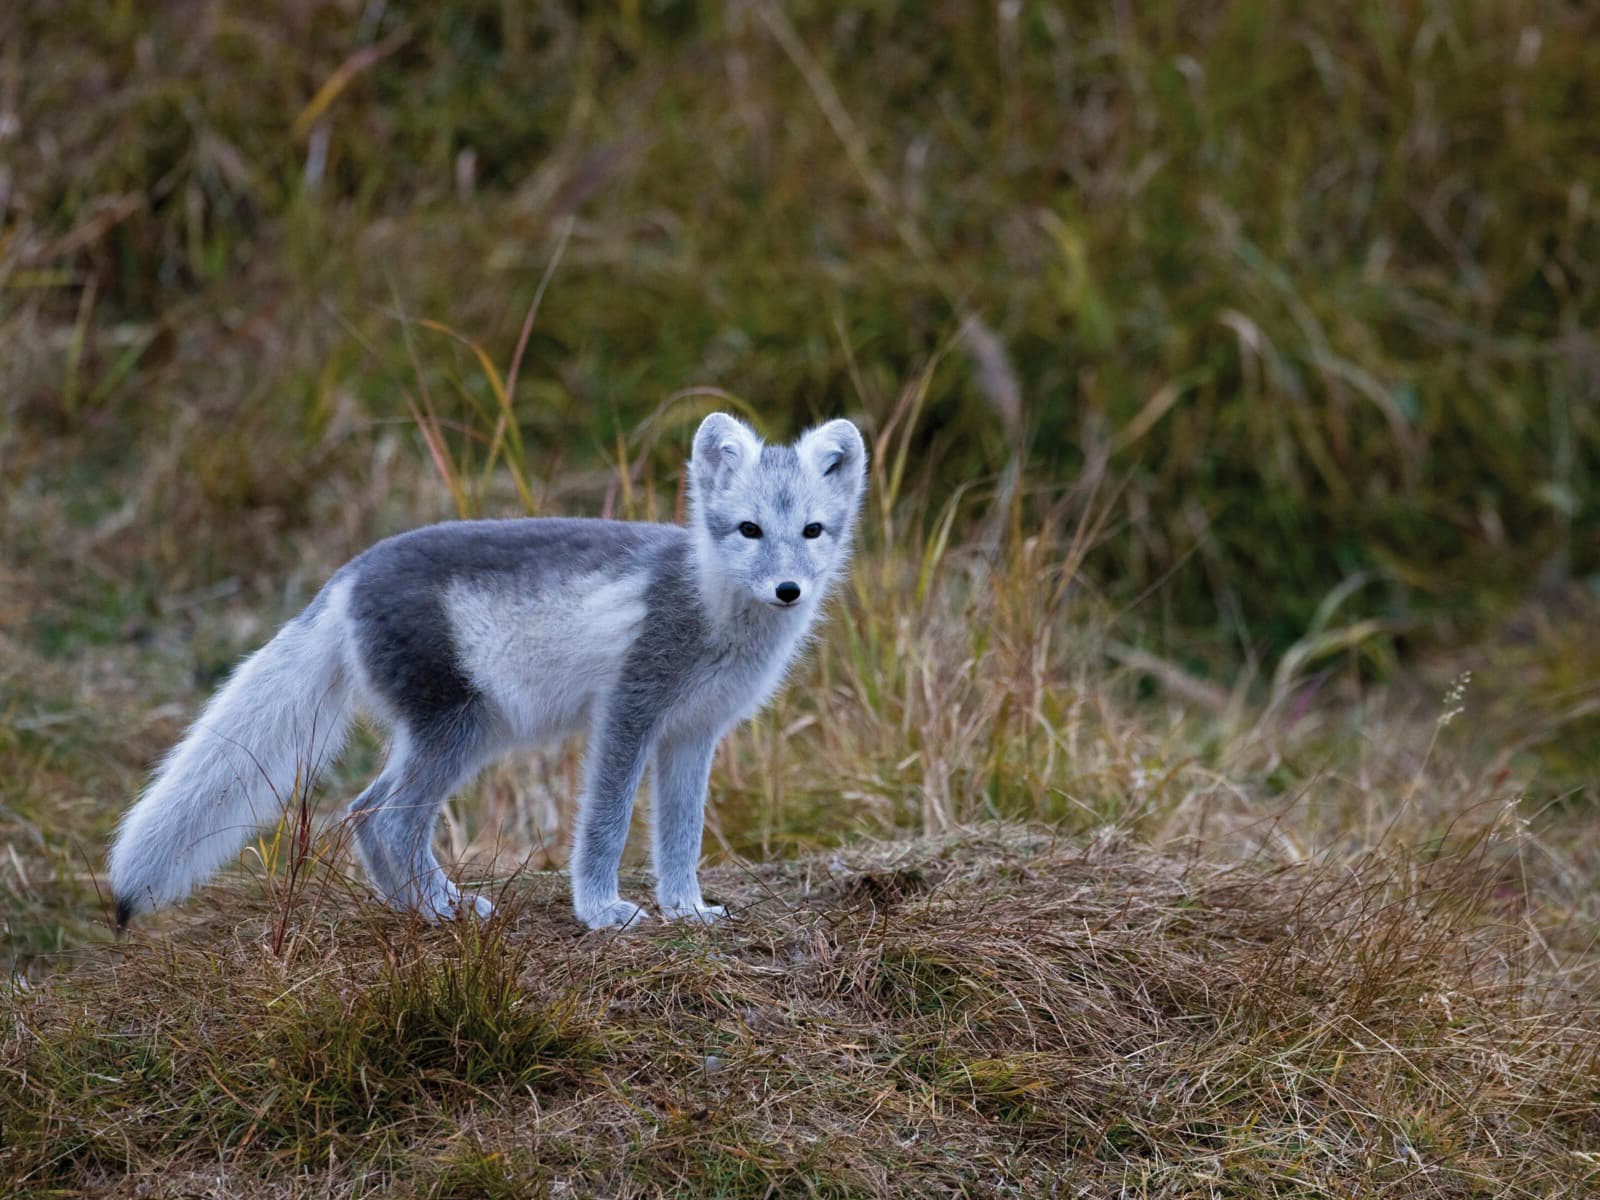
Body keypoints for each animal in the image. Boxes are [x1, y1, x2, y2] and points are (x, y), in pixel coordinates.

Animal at [104, 419, 864, 934]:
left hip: (457, 731)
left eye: (814, 531)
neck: (710, 609)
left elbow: (682, 835)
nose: (790, 590)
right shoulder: (628, 711)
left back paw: (419, 909)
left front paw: (687, 910)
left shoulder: (694, 734)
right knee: (388, 818)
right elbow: (608, 822)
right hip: (463, 726)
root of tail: (348, 574)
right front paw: (601, 910)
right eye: (749, 530)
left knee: (365, 810)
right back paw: (443, 908)